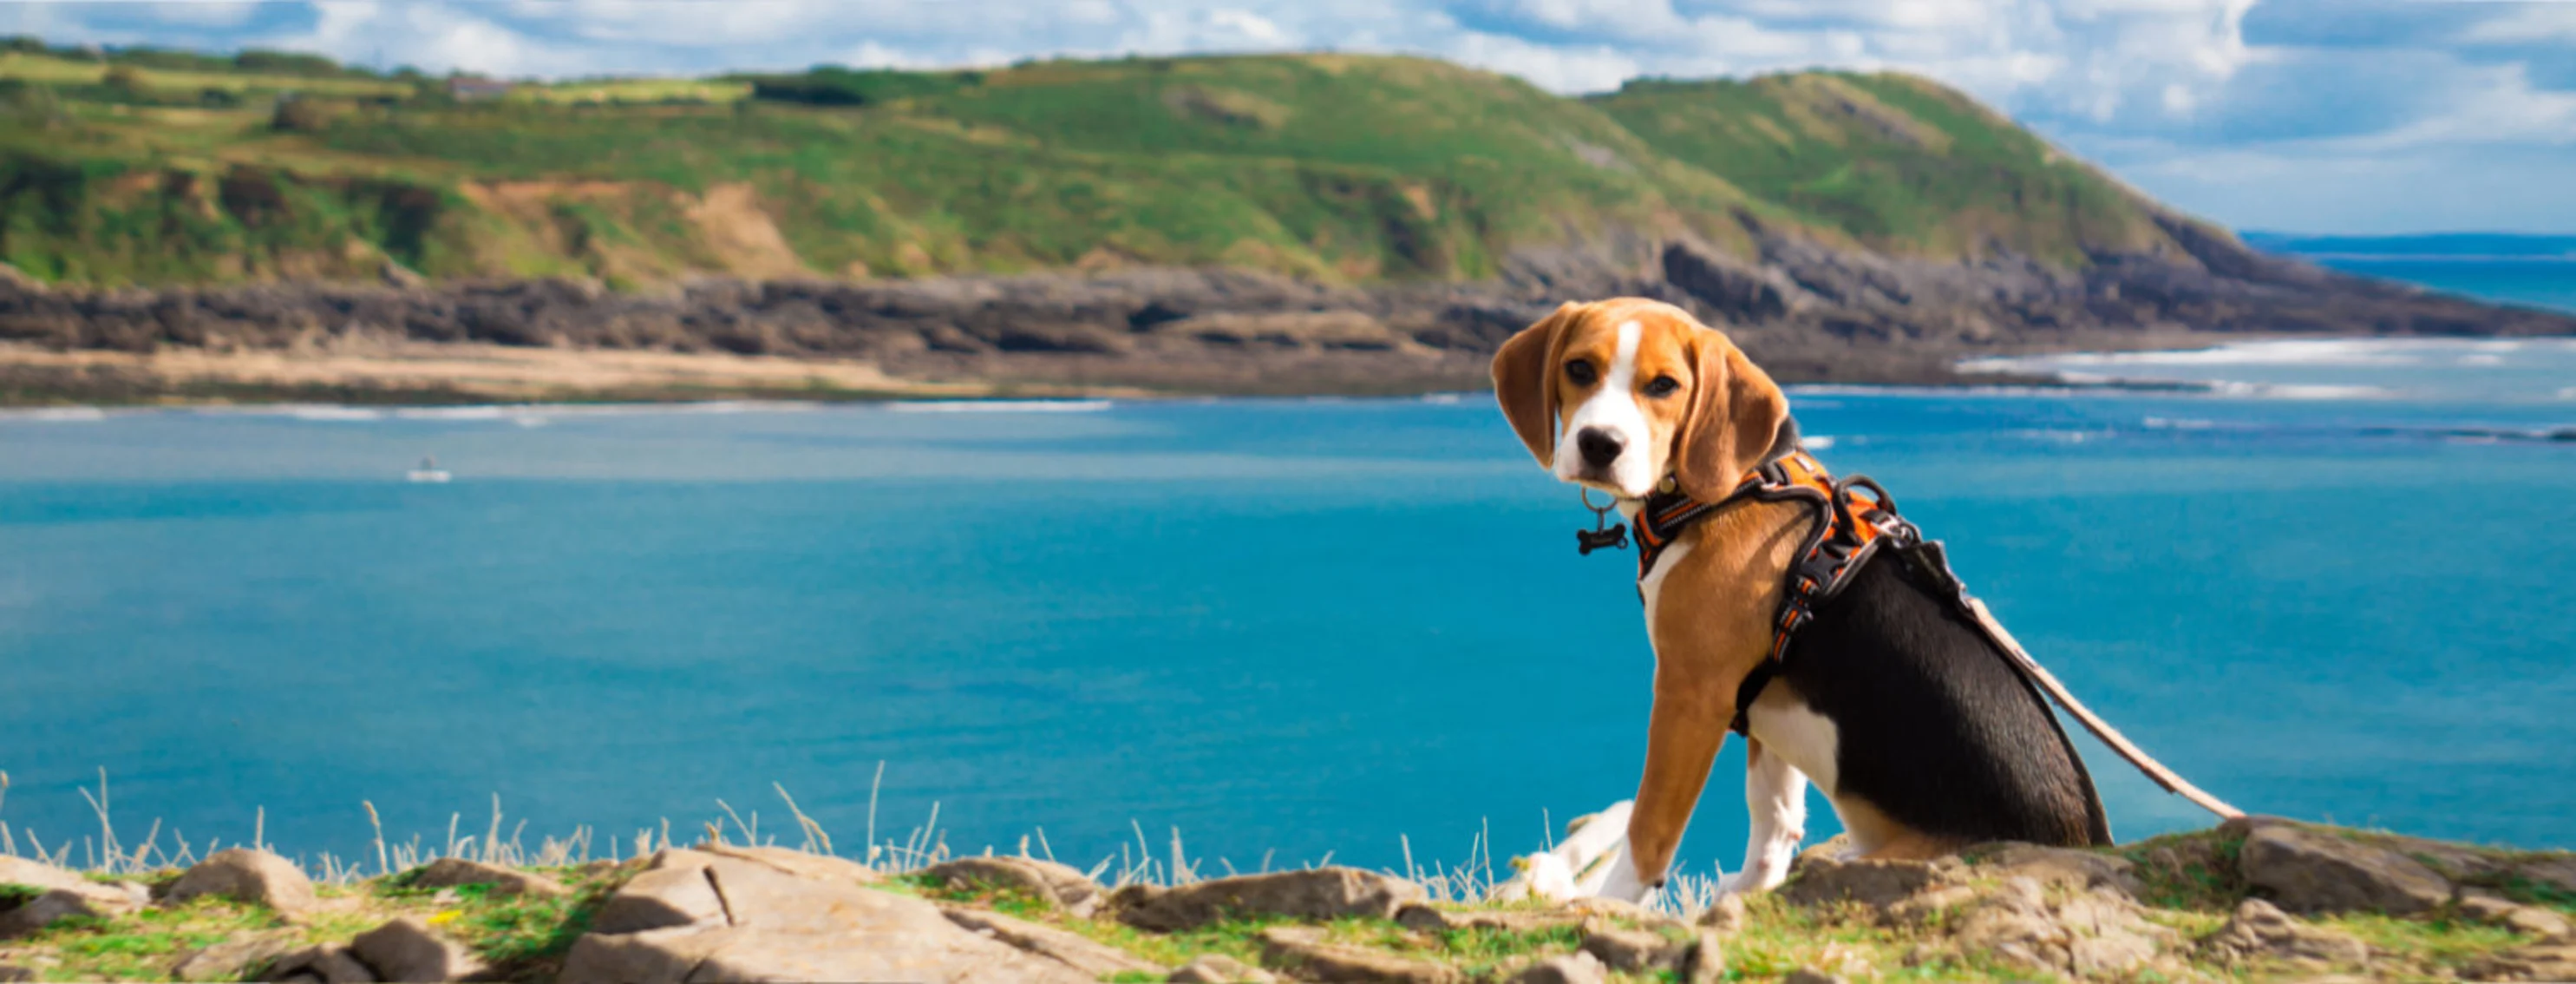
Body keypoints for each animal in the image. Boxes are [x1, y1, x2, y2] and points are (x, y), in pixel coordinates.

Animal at [1504, 297, 2102, 902]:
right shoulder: (1764, 700)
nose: (1600, 444)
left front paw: (1611, 903)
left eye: (1664, 385)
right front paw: (1749, 892)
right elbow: (1774, 815)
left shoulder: (1690, 696)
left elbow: (1650, 828)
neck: (1734, 489)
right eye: (1579, 368)